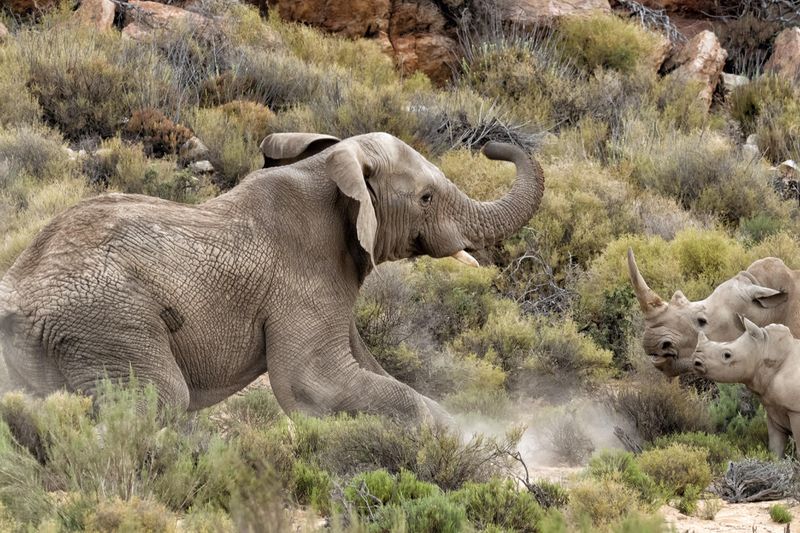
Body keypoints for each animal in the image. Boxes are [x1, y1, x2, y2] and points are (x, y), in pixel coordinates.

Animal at [0, 132, 544, 424]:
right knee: (158, 400)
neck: (328, 170)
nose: (493, 147)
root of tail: (19, 291)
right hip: (107, 323)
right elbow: (311, 384)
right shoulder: (302, 280)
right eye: (427, 198)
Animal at [693, 318, 800, 458]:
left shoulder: (796, 410)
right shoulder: (773, 407)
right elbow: (776, 447)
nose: (696, 361)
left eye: (727, 355)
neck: (765, 347)